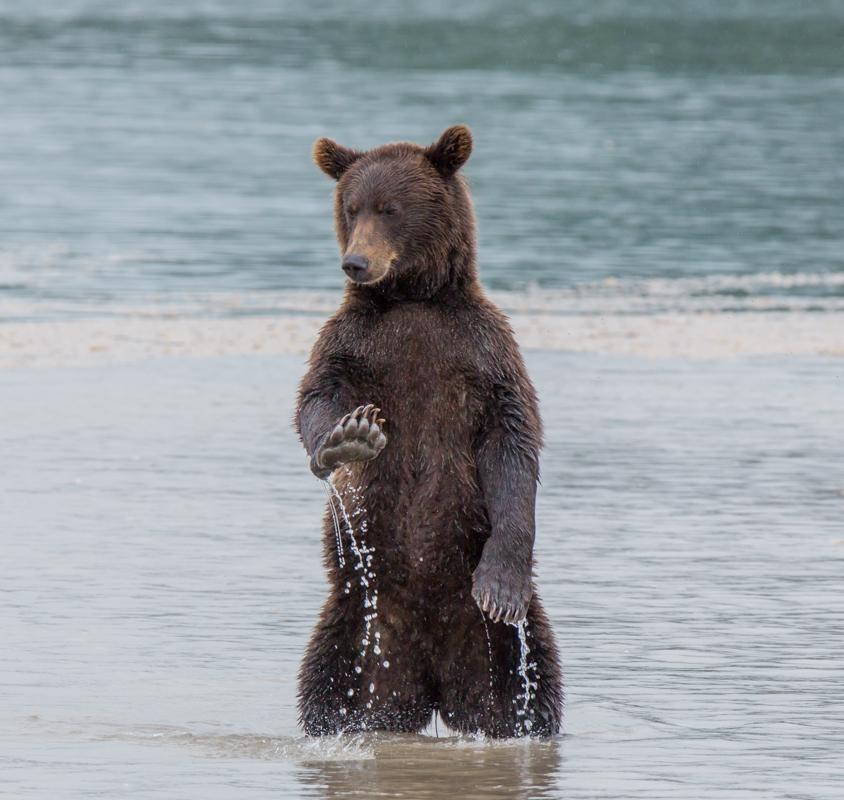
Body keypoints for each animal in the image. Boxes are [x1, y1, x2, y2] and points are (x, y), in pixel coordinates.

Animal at [294, 125, 564, 736]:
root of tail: (436, 687)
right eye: (351, 207)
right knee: (327, 689)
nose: (356, 262)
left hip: (503, 650)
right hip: (356, 628)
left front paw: (499, 587)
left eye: (390, 209)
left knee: (534, 689)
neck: (413, 298)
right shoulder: (355, 344)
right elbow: (316, 398)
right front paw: (347, 439)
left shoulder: (481, 353)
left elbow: (513, 445)